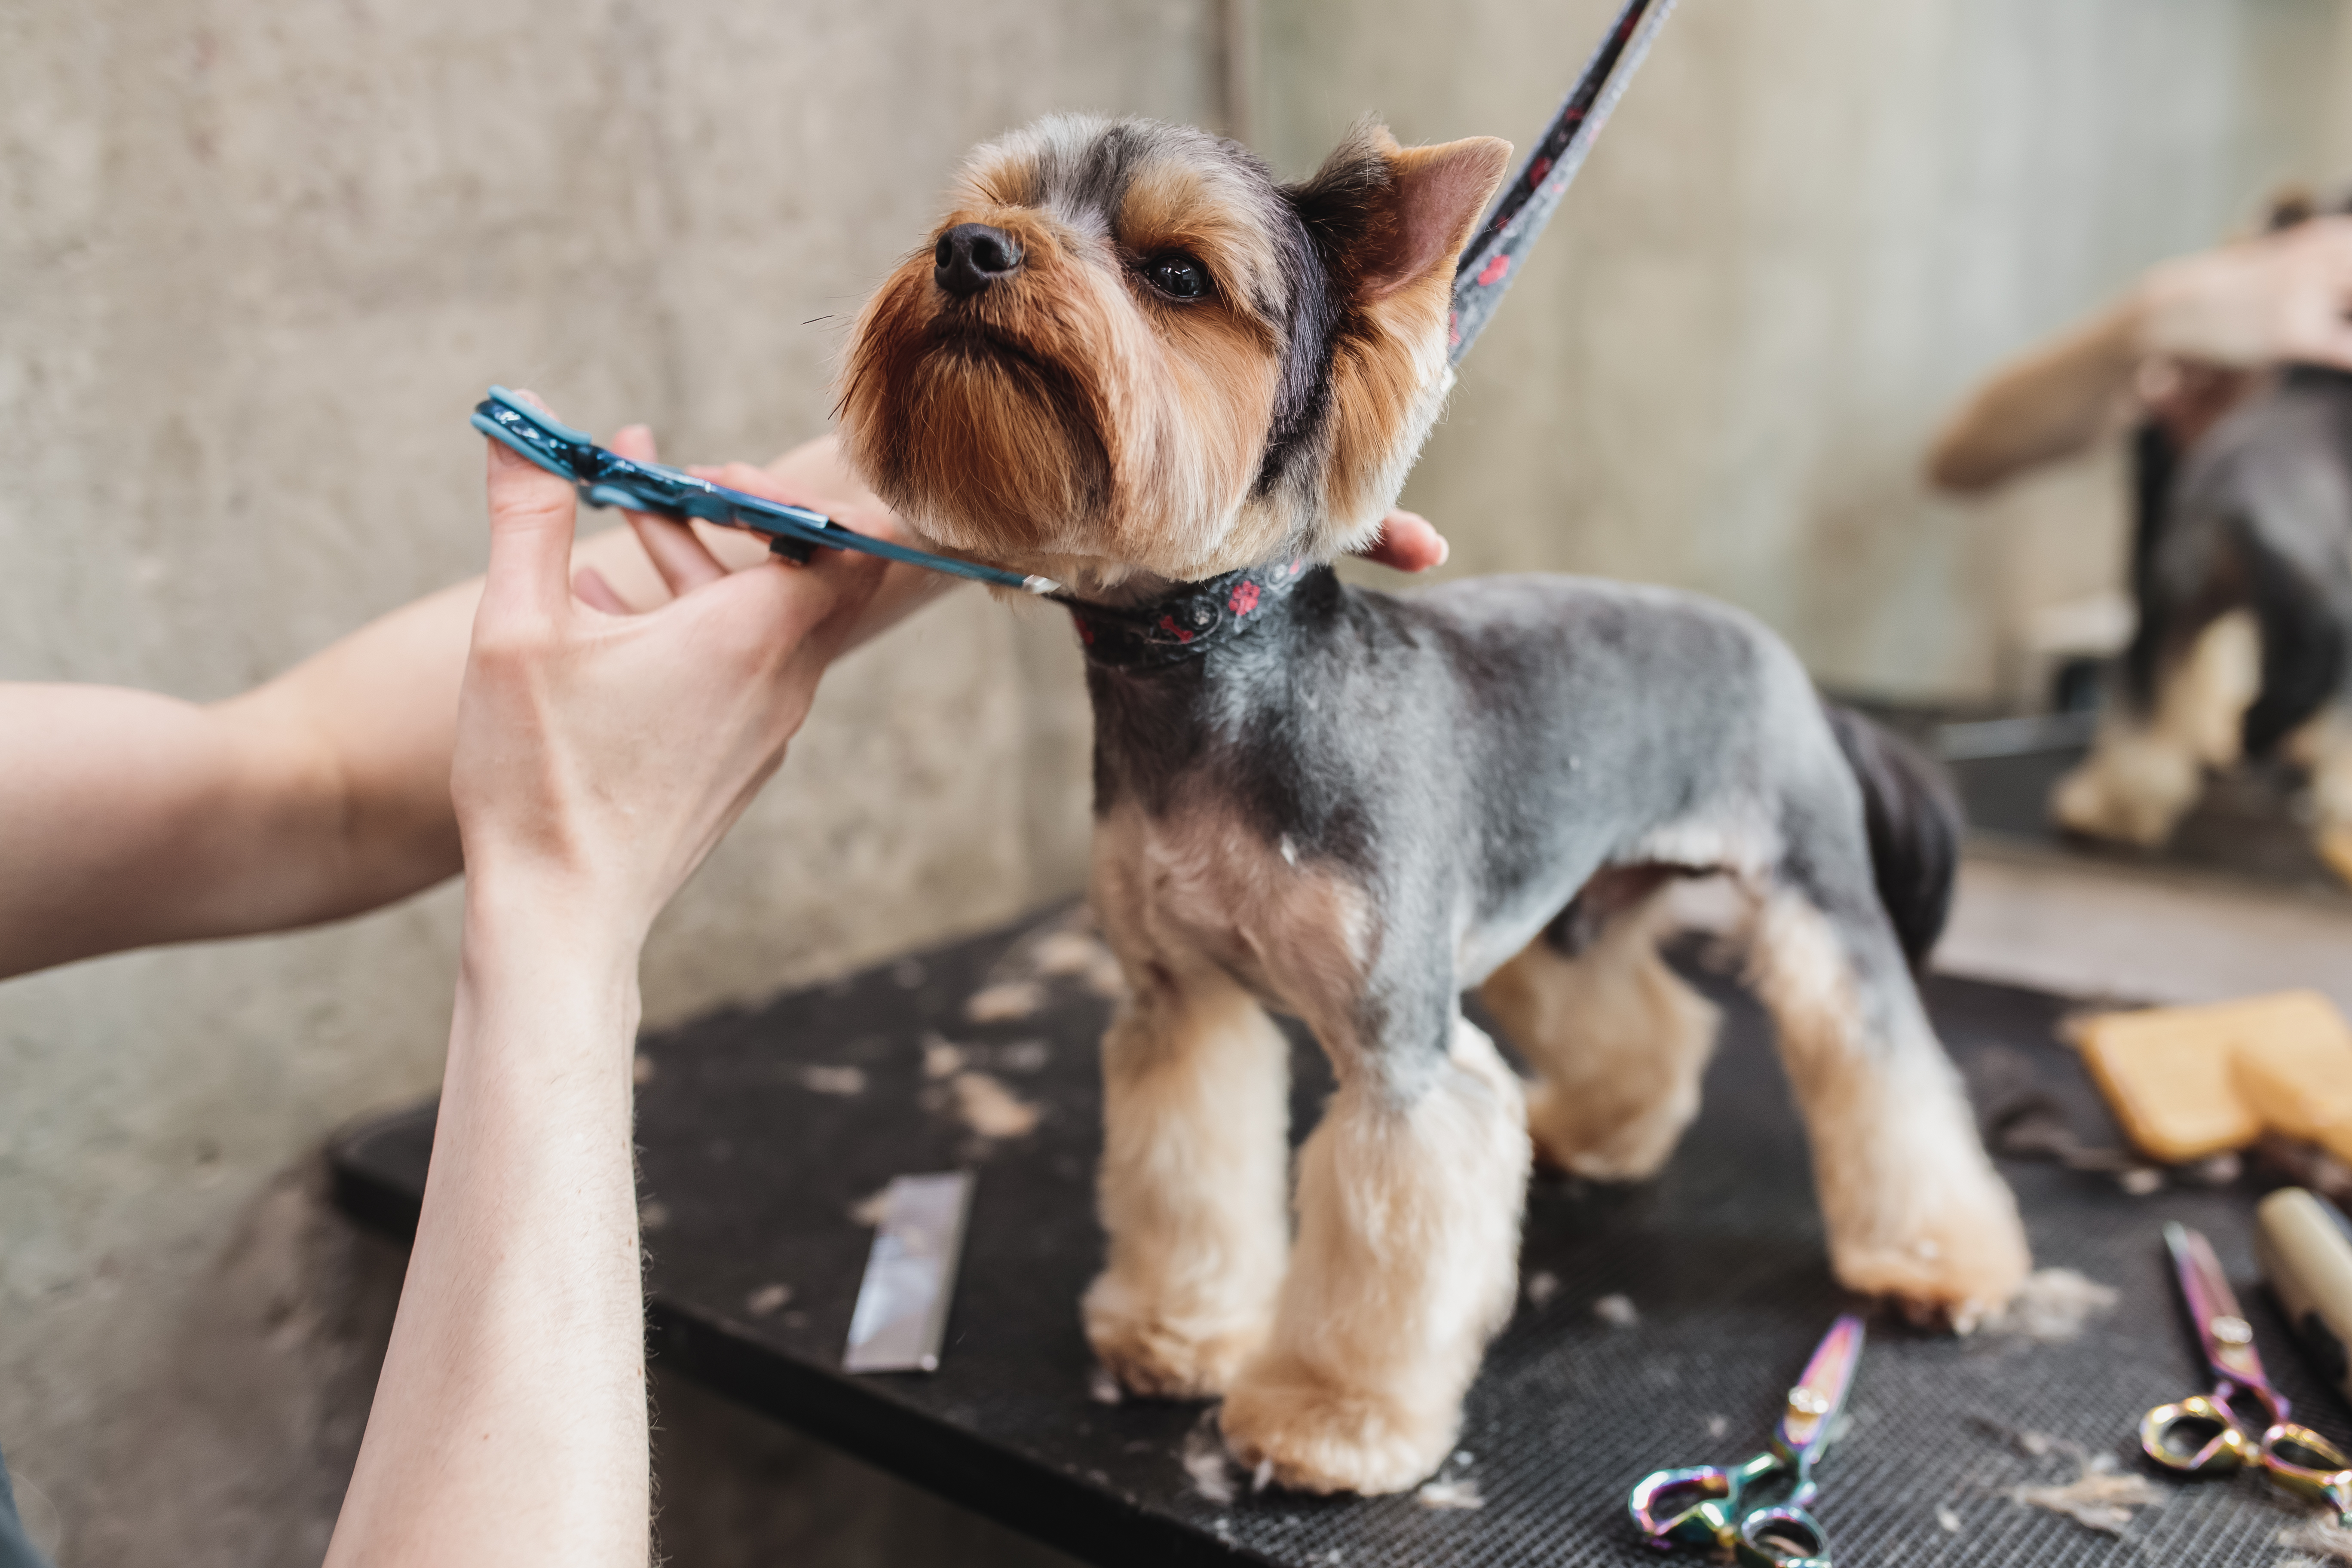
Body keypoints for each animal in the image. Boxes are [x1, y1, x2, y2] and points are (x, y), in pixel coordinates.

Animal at [837, 113, 2032, 1495]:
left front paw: (1326, 1418)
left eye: (1176, 275)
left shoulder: (1399, 1059)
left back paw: (1939, 1261)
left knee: (1882, 1062)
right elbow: (1187, 1166)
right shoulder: (1179, 1003)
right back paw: (1609, 1129)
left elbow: (1384, 1235)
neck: (1209, 674)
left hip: (1809, 895)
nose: (969, 252)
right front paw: (1178, 1330)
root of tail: (1798, 678)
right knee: (1647, 1018)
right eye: (986, 208)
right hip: (1559, 912)